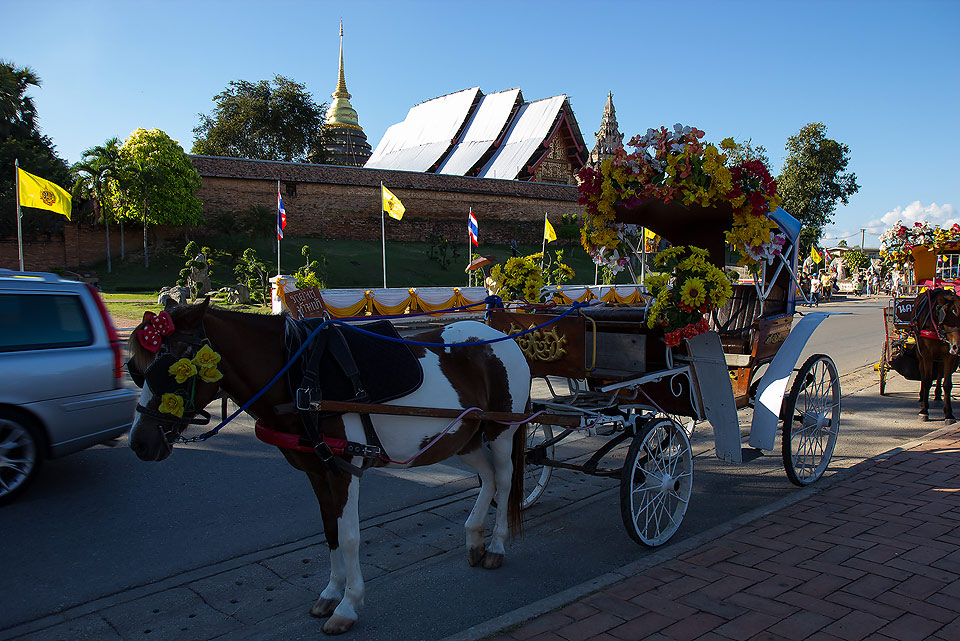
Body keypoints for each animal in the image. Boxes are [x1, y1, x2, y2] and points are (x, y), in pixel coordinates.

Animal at [125, 298, 532, 632]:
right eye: (137, 369)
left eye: (173, 368)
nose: (139, 442)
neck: (301, 379)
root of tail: (501, 337)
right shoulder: (317, 471)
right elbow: (330, 531)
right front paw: (331, 594)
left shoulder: (343, 469)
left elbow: (349, 536)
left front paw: (348, 606)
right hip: (462, 437)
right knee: (488, 478)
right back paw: (474, 537)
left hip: (500, 429)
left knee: (505, 479)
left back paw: (497, 546)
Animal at [912, 288, 960, 420]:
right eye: (946, 317)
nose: (957, 346)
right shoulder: (927, 354)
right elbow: (927, 380)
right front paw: (924, 410)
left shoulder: (949, 356)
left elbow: (947, 384)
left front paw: (949, 413)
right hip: (920, 353)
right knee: (922, 372)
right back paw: (922, 396)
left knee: (939, 372)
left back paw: (938, 396)